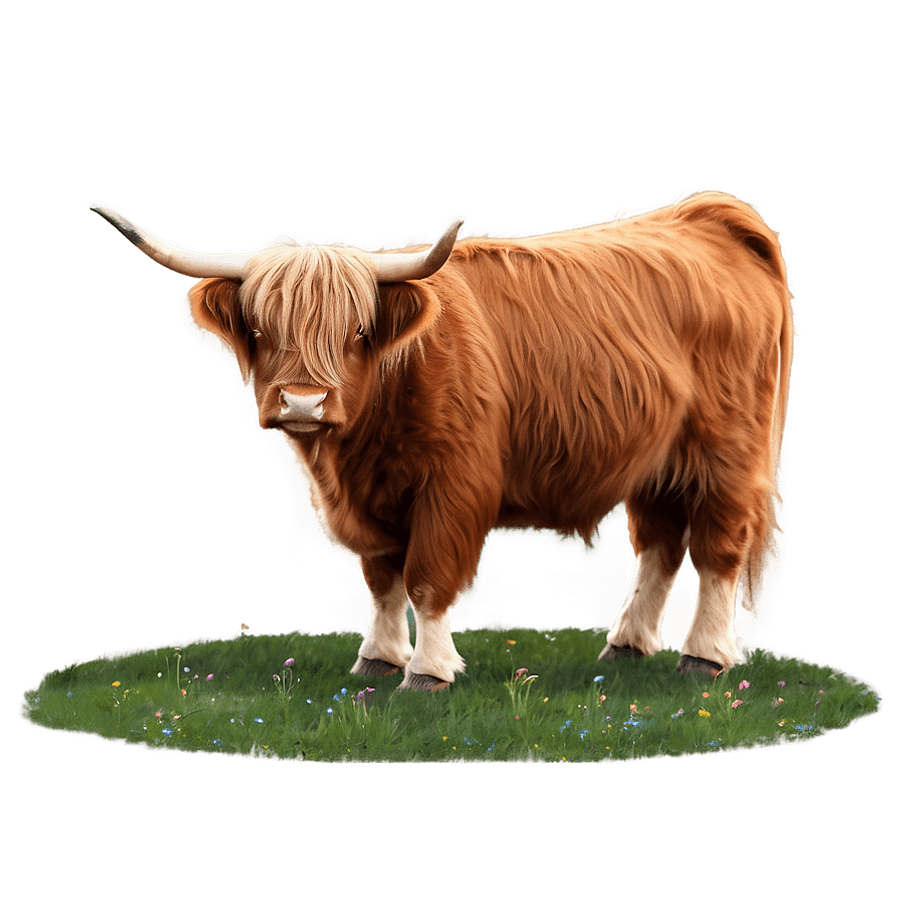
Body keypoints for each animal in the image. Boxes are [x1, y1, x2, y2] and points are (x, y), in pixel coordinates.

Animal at [89, 191, 796, 690]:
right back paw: (625, 647)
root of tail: (705, 217)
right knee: (659, 544)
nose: (303, 403)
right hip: (657, 461)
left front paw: (426, 672)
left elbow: (427, 577)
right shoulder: (363, 504)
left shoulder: (454, 485)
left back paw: (704, 657)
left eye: (356, 331)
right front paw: (377, 659)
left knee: (717, 545)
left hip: (725, 451)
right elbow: (382, 579)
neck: (362, 449)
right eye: (261, 329)